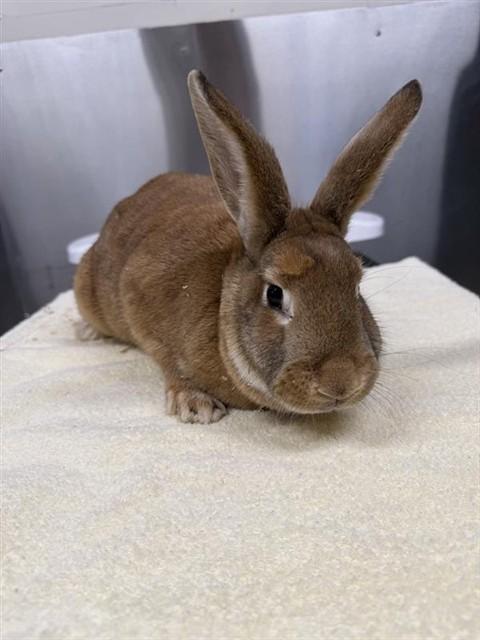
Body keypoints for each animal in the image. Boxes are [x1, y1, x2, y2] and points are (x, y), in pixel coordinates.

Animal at [74, 70, 422, 424]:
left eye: (356, 289)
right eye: (274, 294)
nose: (340, 382)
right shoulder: (138, 297)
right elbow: (168, 360)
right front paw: (196, 406)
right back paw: (86, 332)